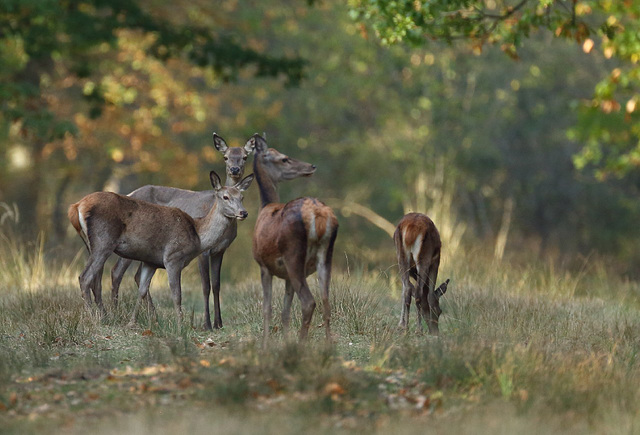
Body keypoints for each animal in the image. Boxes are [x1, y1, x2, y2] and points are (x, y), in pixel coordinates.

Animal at [67, 170, 252, 328]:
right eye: (226, 197)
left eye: (242, 196)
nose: (243, 213)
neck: (197, 234)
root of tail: (76, 206)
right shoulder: (172, 257)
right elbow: (177, 294)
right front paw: (181, 325)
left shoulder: (151, 262)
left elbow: (142, 290)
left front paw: (132, 322)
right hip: (103, 240)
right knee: (86, 277)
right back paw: (94, 318)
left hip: (92, 244)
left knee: (96, 279)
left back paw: (104, 316)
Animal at [108, 134, 255, 330]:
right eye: (226, 156)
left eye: (245, 156)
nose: (235, 169)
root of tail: (130, 194)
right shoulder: (204, 252)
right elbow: (206, 285)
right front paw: (207, 324)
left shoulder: (220, 250)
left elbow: (217, 284)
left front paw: (219, 323)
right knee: (117, 272)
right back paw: (115, 313)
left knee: (138, 276)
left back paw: (154, 317)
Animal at [248, 134, 340, 348]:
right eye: (284, 159)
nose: (311, 166)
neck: (265, 207)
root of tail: (318, 214)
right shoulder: (286, 276)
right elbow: (285, 312)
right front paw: (285, 341)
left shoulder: (263, 265)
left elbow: (267, 309)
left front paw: (265, 345)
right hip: (326, 255)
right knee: (326, 300)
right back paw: (328, 344)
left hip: (293, 254)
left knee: (309, 302)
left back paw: (301, 343)